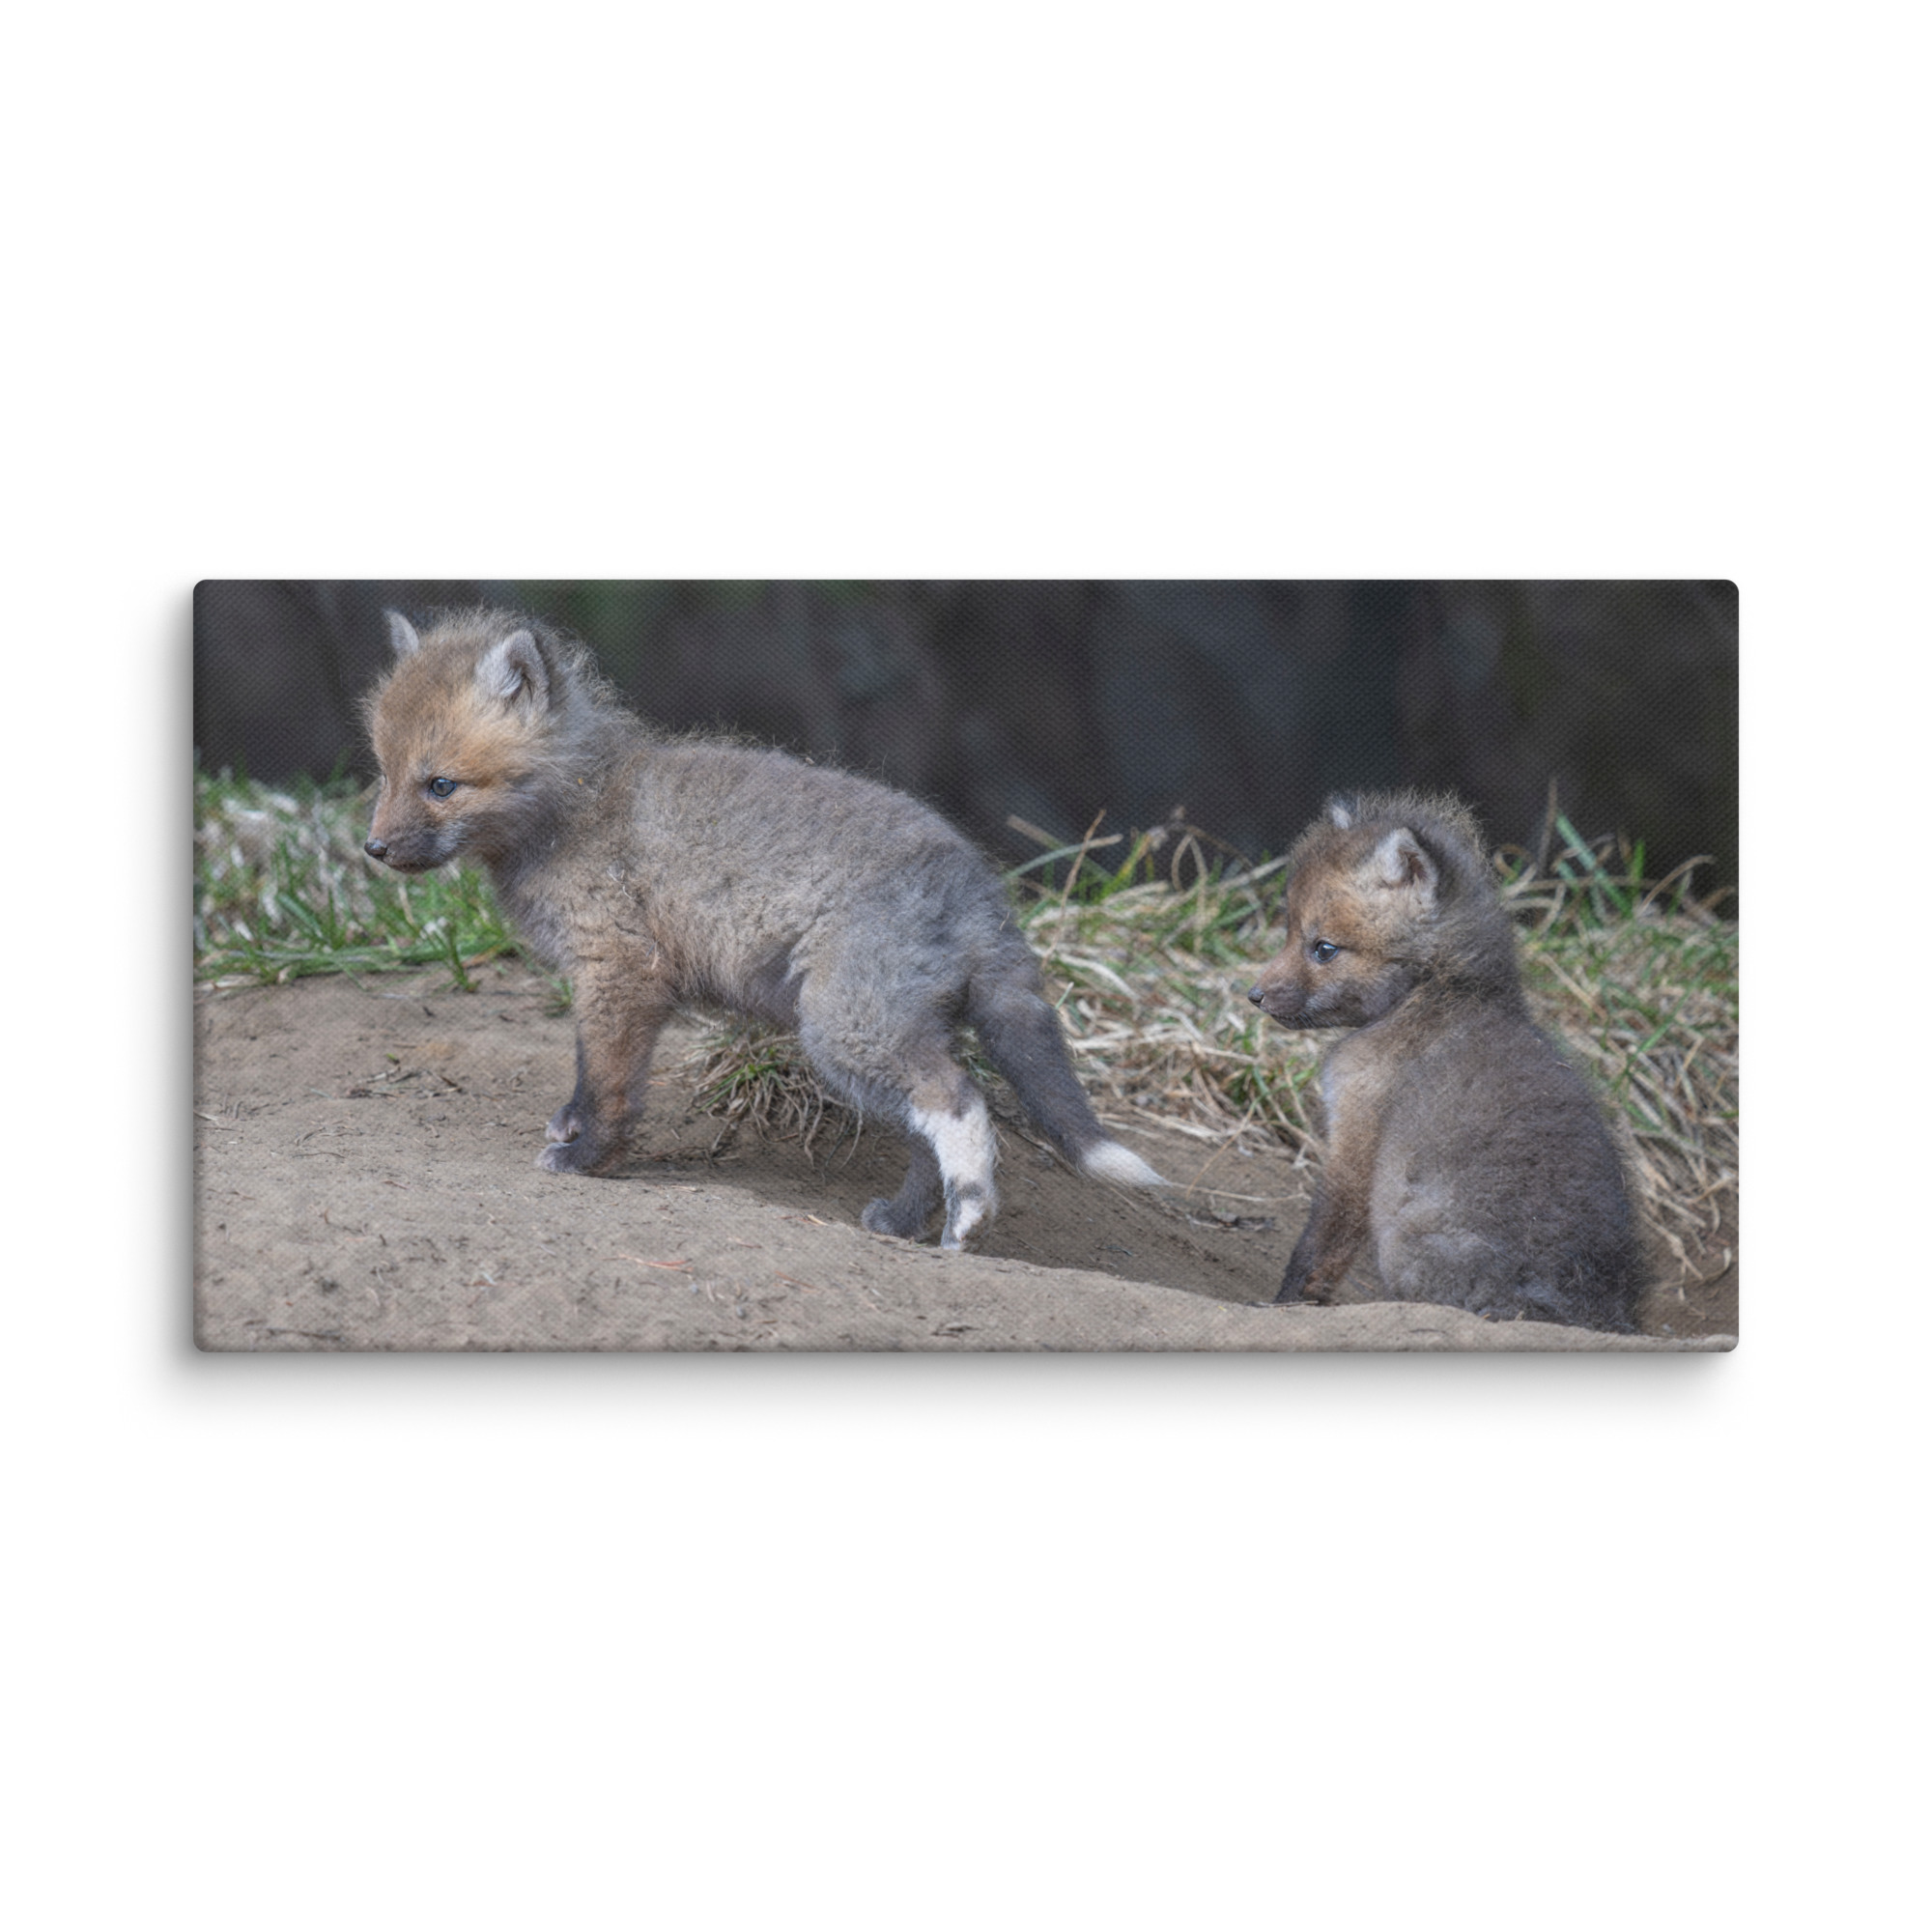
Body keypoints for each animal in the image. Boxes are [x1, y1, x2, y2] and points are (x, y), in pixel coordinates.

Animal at [362, 607, 1166, 1248]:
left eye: (441, 785)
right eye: (384, 774)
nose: (372, 849)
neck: (576, 807)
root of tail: (980, 887)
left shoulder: (619, 972)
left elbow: (609, 1083)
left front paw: (588, 1158)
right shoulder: (611, 982)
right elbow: (589, 1073)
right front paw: (572, 1127)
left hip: (845, 1030)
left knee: (960, 1103)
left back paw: (968, 1219)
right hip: (883, 1038)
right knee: (925, 1134)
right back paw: (905, 1224)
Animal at [1248, 791, 1643, 1332]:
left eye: (1324, 949)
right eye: (1289, 932)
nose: (1254, 995)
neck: (1435, 993)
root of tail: (1589, 1311)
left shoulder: (1357, 1137)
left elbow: (1319, 1245)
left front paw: (1284, 1306)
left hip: (1405, 1239)